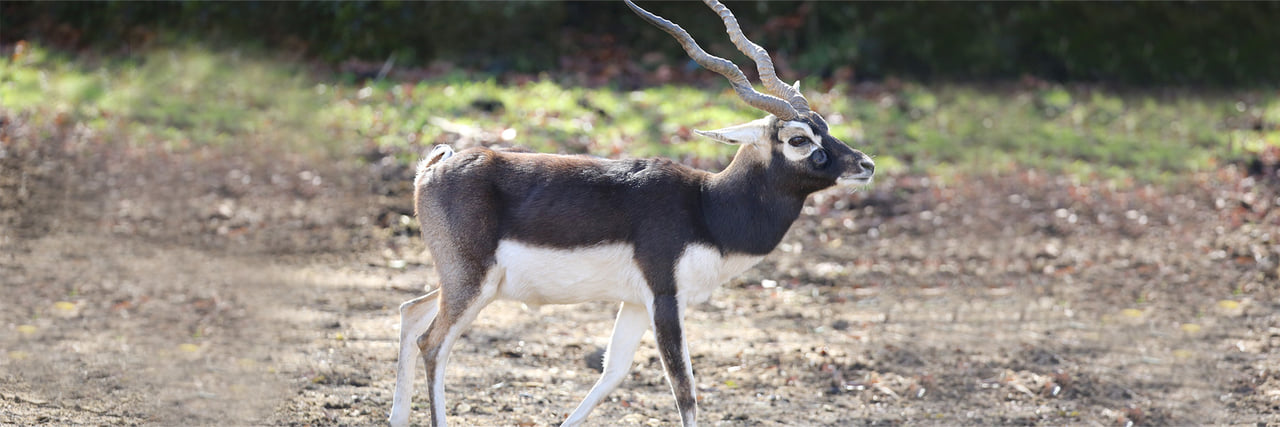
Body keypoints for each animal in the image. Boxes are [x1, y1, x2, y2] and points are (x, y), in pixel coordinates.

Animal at [384, 1, 875, 424]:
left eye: (825, 127)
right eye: (798, 139)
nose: (865, 165)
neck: (707, 206)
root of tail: (435, 165)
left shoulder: (636, 303)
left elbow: (612, 373)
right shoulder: (665, 297)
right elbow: (685, 391)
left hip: (466, 281)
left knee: (410, 311)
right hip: (472, 283)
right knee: (433, 344)